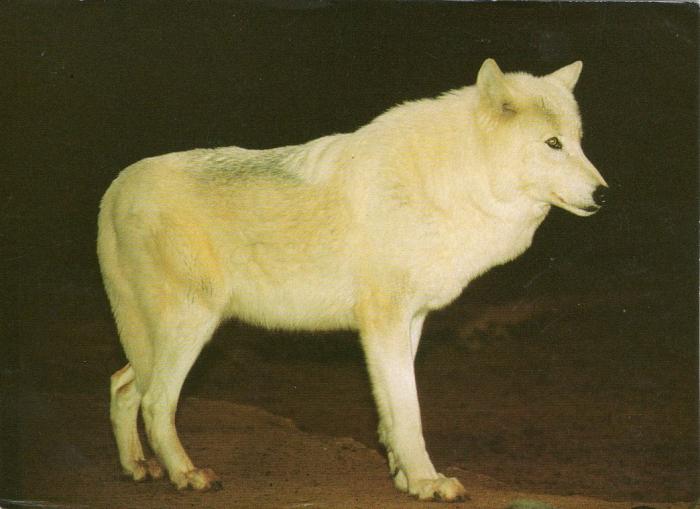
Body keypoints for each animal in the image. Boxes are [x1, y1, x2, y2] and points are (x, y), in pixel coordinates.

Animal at [97, 59, 607, 502]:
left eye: (579, 142)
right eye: (553, 144)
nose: (604, 193)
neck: (450, 181)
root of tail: (116, 187)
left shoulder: (411, 321)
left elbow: (390, 412)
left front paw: (404, 477)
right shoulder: (383, 320)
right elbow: (408, 412)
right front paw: (428, 483)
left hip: (163, 338)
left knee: (121, 386)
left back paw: (138, 467)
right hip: (191, 327)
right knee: (156, 402)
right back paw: (187, 475)